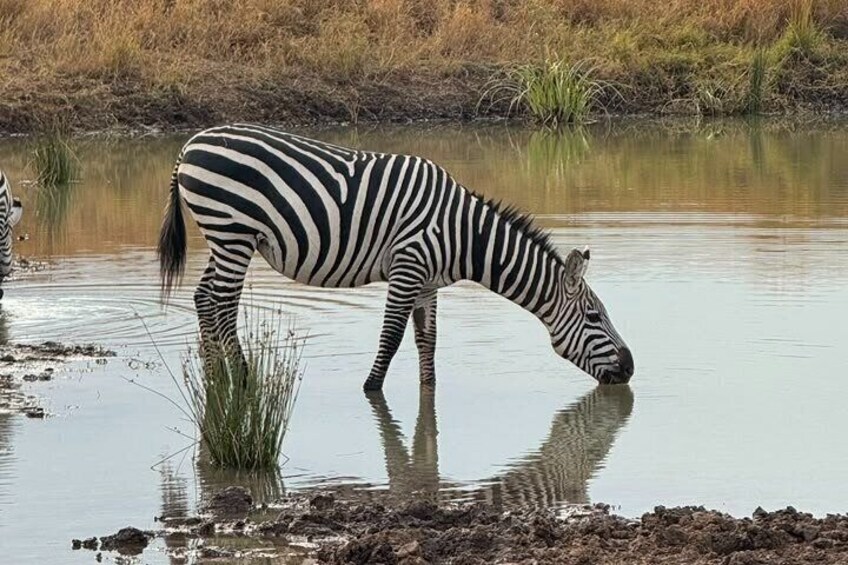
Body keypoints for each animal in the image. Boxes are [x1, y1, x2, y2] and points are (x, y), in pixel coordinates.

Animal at [157, 124, 634, 390]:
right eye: (594, 316)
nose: (630, 368)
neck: (464, 235)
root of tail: (189, 146)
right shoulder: (408, 266)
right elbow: (390, 337)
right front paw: (370, 389)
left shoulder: (428, 282)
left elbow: (428, 341)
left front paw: (429, 393)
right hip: (232, 231)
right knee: (222, 303)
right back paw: (242, 378)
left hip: (223, 238)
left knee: (204, 297)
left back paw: (214, 375)